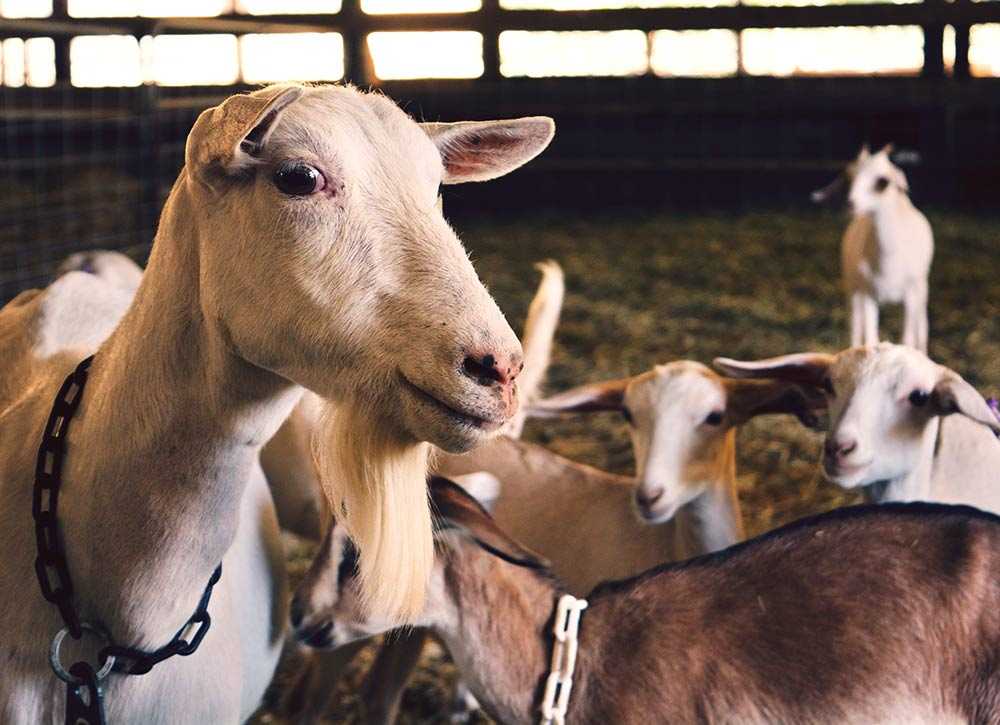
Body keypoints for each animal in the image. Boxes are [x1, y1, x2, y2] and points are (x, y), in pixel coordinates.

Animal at [813, 144, 933, 351]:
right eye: (849, 176)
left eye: (882, 182)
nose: (850, 203)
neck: (889, 262)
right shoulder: (869, 293)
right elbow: (870, 338)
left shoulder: (911, 294)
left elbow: (908, 340)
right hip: (853, 288)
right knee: (855, 328)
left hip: (921, 288)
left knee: (922, 328)